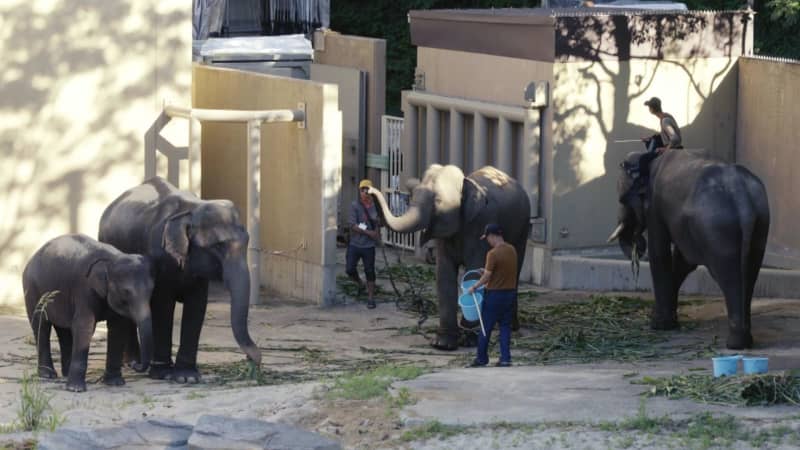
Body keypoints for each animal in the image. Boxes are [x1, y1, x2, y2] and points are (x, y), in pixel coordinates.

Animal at [20, 234, 155, 392]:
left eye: (152, 290)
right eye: (126, 292)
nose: (134, 365)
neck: (111, 259)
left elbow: (118, 329)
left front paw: (115, 383)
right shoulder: (84, 290)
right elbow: (84, 326)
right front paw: (75, 389)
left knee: (64, 329)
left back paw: (66, 373)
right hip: (32, 289)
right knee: (41, 325)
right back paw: (48, 375)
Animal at [99, 178, 262, 382]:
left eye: (247, 241)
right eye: (217, 246)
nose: (252, 360)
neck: (191, 209)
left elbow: (197, 304)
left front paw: (188, 377)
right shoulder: (159, 255)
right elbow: (163, 305)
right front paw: (163, 374)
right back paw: (133, 363)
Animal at [368, 163, 532, 350]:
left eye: (438, 202)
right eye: (412, 196)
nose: (368, 189)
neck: (466, 183)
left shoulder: (481, 224)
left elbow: (473, 273)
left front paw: (470, 339)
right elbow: (444, 275)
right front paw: (443, 344)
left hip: (522, 228)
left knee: (513, 268)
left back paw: (509, 327)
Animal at [608, 149, 772, 350]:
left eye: (622, 199)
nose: (637, 246)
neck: (650, 157)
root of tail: (742, 199)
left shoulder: (655, 207)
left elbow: (659, 254)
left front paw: (659, 325)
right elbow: (683, 263)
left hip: (717, 229)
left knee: (728, 277)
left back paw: (735, 344)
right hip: (760, 224)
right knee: (749, 274)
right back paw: (744, 341)